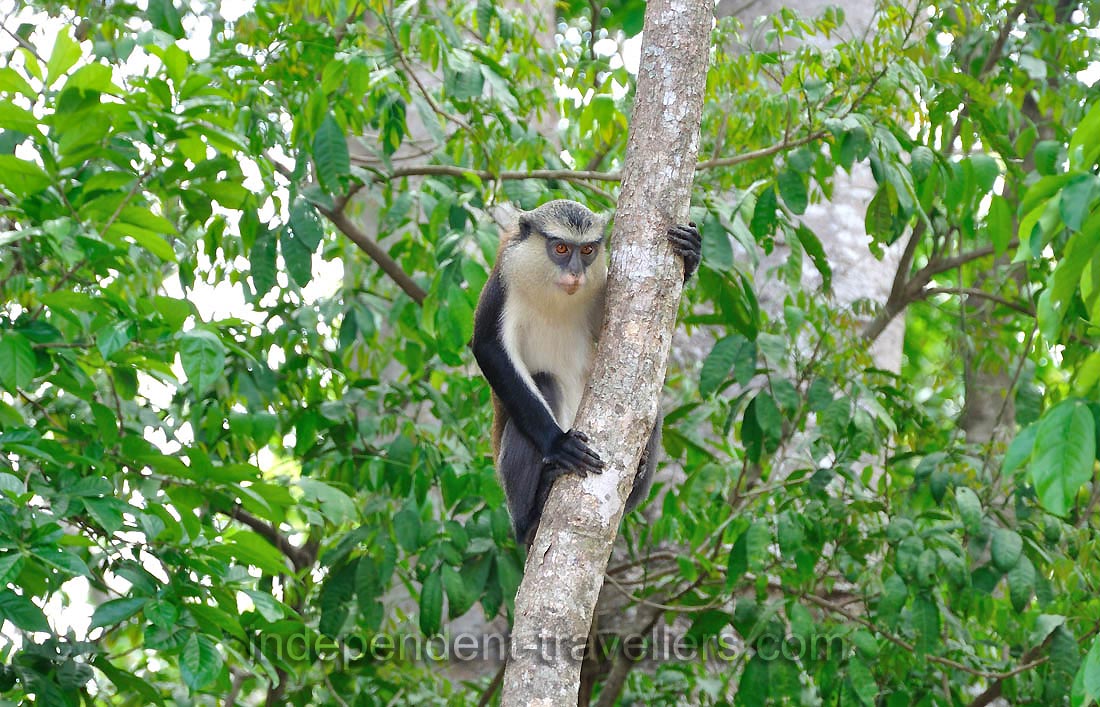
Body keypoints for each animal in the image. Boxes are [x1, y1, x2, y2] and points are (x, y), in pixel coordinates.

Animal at [471, 199, 701, 545]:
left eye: (588, 250)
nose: (576, 274)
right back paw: (532, 516)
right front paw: (558, 443)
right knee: (544, 381)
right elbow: (488, 348)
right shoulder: (504, 281)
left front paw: (691, 256)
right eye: (561, 248)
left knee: (654, 408)